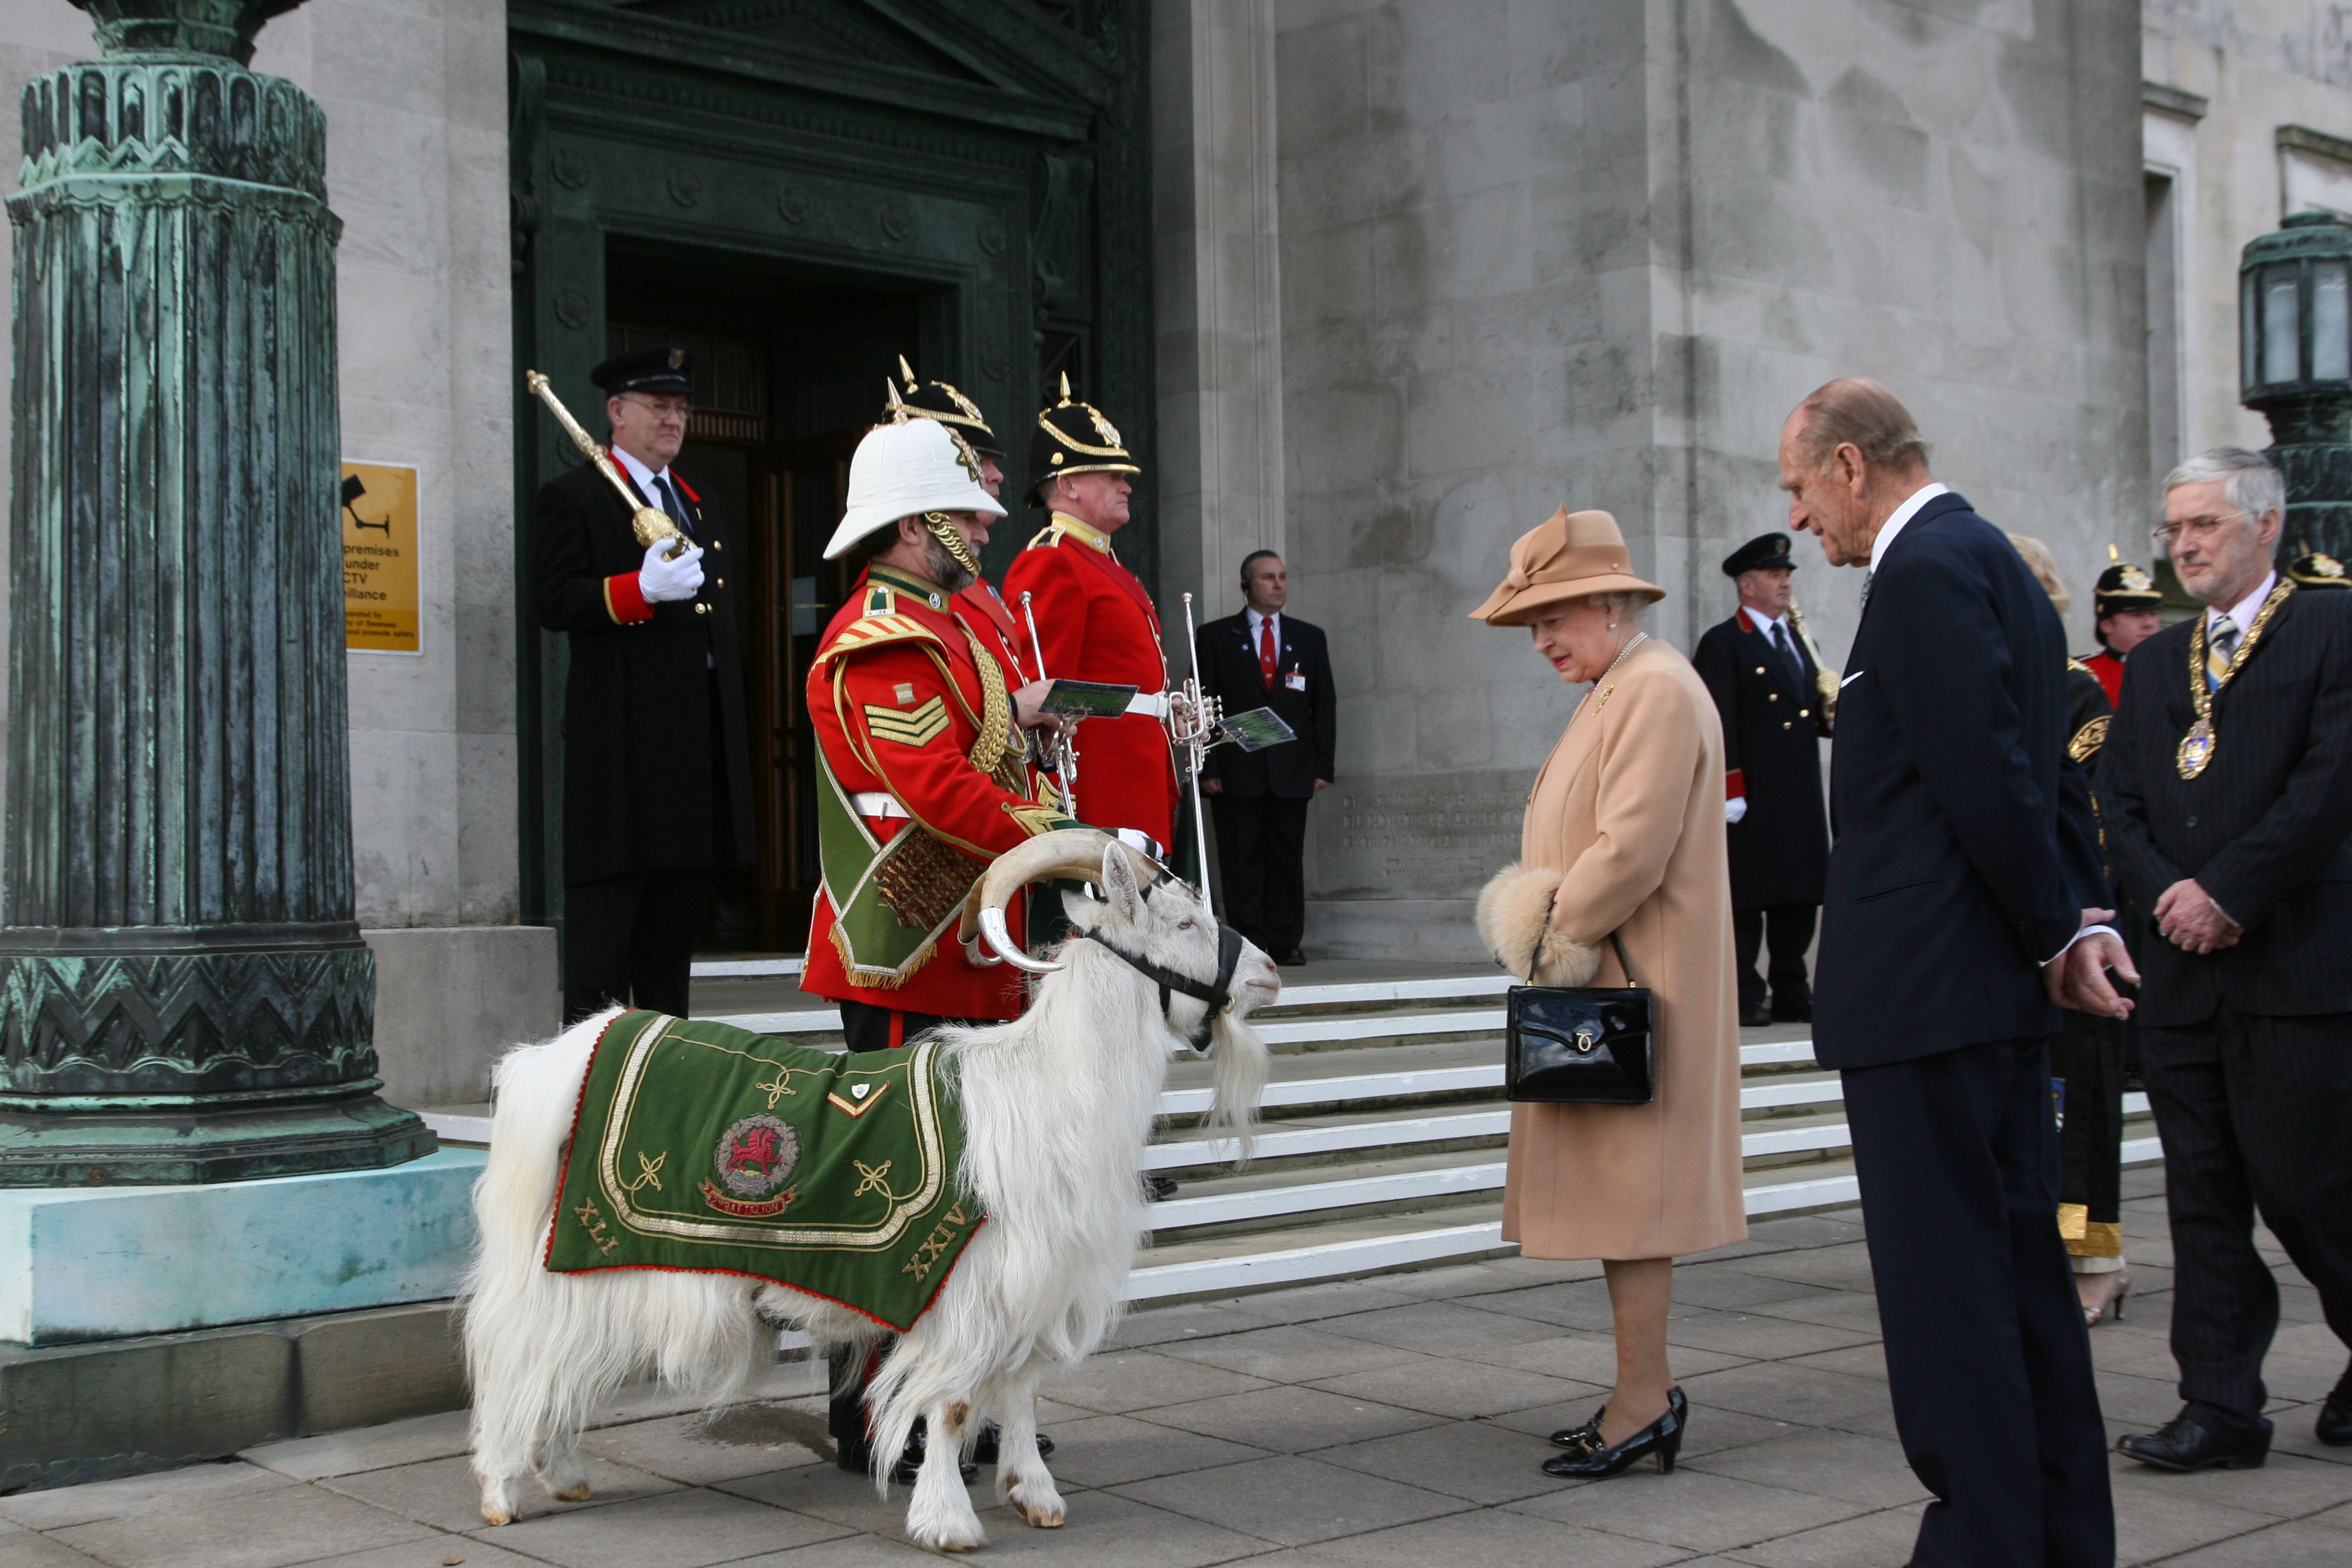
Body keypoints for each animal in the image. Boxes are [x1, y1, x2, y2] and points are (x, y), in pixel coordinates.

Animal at [456, 832, 1270, 1561]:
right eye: (1184, 923)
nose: (1268, 973)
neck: (1045, 1088)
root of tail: (546, 1062)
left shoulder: (1033, 1280)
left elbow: (1022, 1385)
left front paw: (1034, 1495)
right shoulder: (961, 1289)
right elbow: (952, 1404)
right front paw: (947, 1521)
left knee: (565, 1359)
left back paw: (562, 1472)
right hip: (556, 1255)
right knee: (516, 1352)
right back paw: (500, 1490)